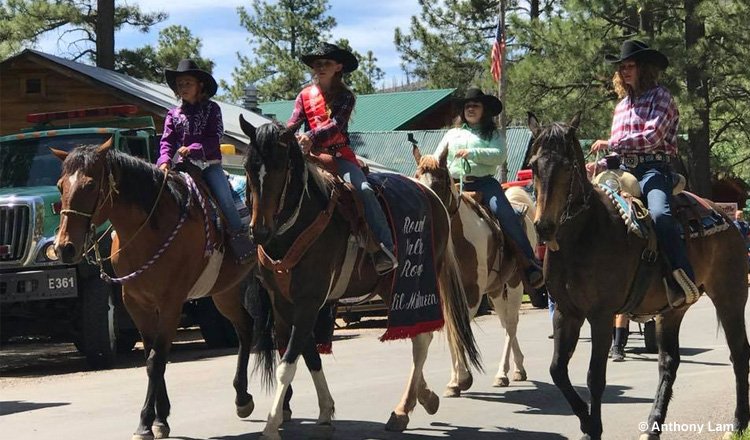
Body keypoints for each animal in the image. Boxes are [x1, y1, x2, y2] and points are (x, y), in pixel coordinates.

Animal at [51, 141, 260, 440]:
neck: (149, 232)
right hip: (225, 292)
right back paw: (243, 398)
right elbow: (152, 357)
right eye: (60, 186)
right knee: (245, 328)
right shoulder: (138, 305)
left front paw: (145, 422)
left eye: (90, 185)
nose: (64, 247)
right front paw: (160, 420)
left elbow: (156, 361)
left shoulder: (171, 304)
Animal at [241, 119, 482, 440]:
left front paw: (270, 426)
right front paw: (325, 411)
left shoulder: (308, 301)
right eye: (248, 167)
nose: (259, 231)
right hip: (389, 287)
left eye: (281, 167)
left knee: (421, 339)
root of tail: (432, 198)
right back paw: (424, 396)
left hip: (413, 283)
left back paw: (403, 409)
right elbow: (307, 354)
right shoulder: (282, 304)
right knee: (420, 338)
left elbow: (288, 364)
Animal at [414, 147, 536, 396]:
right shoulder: (446, 295)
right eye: (416, 178)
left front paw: (461, 379)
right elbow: (451, 330)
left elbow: (459, 331)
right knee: (505, 322)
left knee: (511, 323)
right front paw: (455, 381)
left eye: (439, 182)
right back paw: (518, 368)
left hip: (515, 282)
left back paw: (502, 373)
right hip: (496, 289)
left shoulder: (471, 293)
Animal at [528, 114, 750, 440]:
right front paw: (585, 422)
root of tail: (727, 220)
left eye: (567, 166)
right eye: (534, 165)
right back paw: (653, 426)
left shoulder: (601, 315)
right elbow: (557, 370)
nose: (543, 227)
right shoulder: (566, 312)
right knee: (669, 362)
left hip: (729, 296)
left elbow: (595, 376)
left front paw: (593, 428)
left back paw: (738, 423)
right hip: (672, 311)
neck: (584, 233)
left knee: (739, 353)